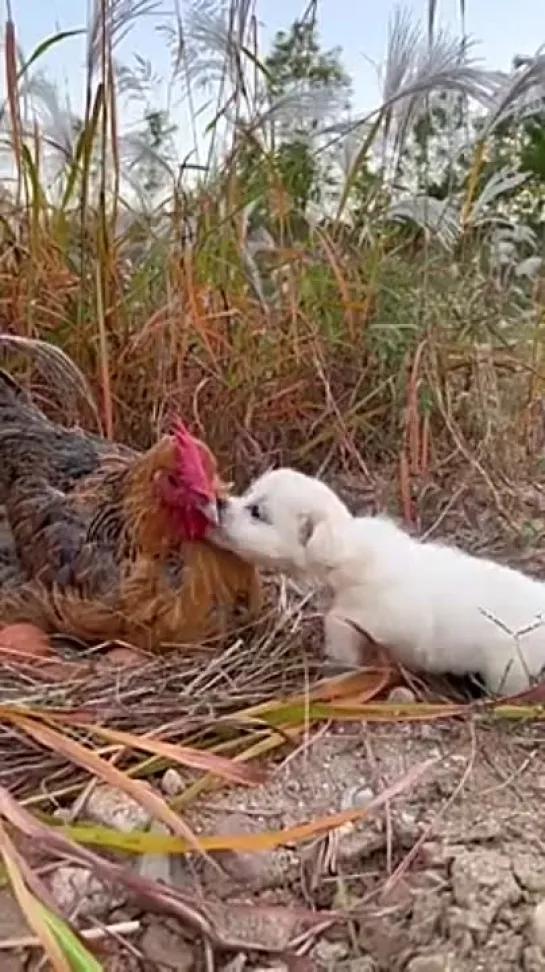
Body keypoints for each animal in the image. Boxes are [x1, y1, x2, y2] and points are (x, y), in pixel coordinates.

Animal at [219, 468, 544, 696]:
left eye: (257, 512)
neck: (345, 550)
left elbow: (339, 630)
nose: (219, 503)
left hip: (508, 669)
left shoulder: (365, 620)